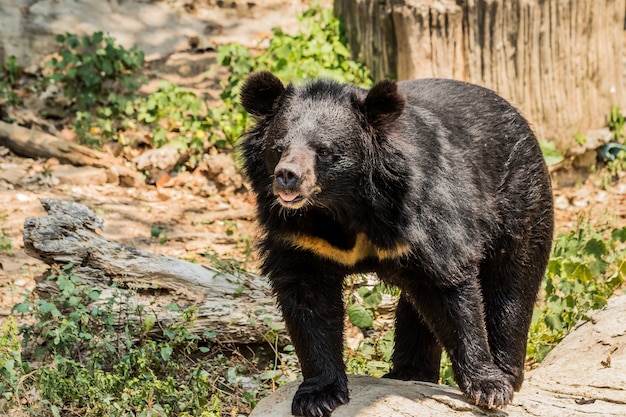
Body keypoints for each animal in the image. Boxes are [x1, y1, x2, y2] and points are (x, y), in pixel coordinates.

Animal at [238, 72, 552, 416]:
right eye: (278, 148)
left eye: (324, 150)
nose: (287, 176)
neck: (340, 204)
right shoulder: (301, 240)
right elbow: (309, 304)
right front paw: (317, 397)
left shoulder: (421, 215)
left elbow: (452, 292)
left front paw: (490, 387)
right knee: (417, 309)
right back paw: (409, 373)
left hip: (520, 205)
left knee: (511, 288)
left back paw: (506, 371)